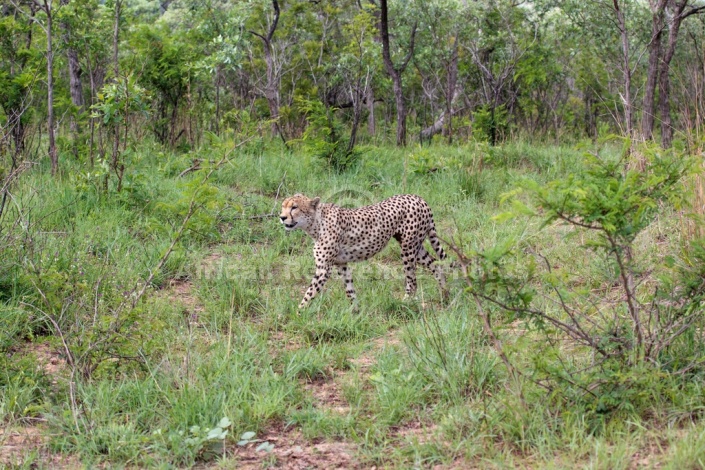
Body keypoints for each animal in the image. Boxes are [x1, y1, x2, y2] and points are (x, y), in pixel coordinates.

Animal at [280, 193, 446, 306]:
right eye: (283, 206)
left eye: (294, 207)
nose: (281, 217)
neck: (315, 224)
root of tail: (418, 198)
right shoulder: (342, 264)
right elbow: (349, 290)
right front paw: (355, 313)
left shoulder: (323, 269)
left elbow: (309, 293)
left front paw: (299, 314)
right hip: (415, 246)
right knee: (435, 265)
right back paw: (445, 294)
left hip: (408, 248)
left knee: (412, 280)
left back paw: (406, 302)